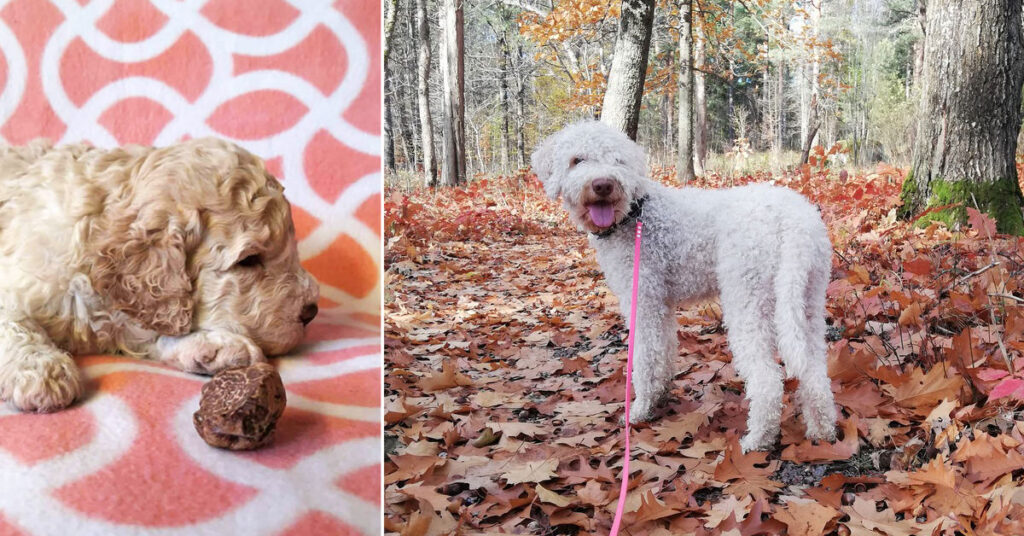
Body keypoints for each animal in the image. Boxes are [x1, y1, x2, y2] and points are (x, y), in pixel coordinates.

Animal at [0, 137, 319, 411]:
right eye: (249, 260)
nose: (311, 311)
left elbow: (147, 329)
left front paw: (215, 347)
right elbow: (15, 325)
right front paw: (40, 369)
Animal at [532, 122, 835, 452]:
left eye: (617, 161)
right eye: (577, 160)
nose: (603, 185)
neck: (634, 213)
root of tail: (795, 221)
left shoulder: (643, 299)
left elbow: (645, 359)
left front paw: (639, 410)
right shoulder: (660, 304)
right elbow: (663, 351)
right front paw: (660, 396)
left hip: (749, 297)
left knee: (767, 381)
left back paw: (757, 440)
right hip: (807, 298)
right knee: (815, 371)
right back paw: (821, 431)